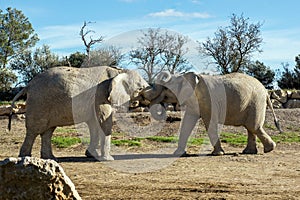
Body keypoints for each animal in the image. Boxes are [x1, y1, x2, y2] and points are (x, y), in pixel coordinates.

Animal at [9, 66, 149, 160]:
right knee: (34, 131)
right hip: (39, 103)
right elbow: (104, 121)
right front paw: (108, 159)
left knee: (47, 132)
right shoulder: (100, 96)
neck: (119, 71)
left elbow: (94, 124)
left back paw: (51, 158)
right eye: (140, 88)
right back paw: (25, 158)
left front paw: (92, 155)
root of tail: (28, 85)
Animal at [135, 71, 282, 155]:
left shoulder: (209, 100)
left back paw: (268, 149)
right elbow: (187, 123)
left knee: (253, 126)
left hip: (256, 102)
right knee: (251, 127)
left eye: (166, 88)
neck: (184, 76)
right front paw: (178, 154)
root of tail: (266, 91)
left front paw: (218, 154)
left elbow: (209, 122)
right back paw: (250, 152)